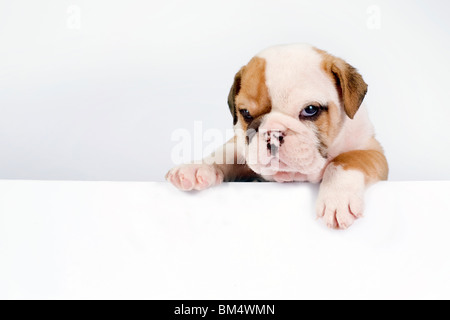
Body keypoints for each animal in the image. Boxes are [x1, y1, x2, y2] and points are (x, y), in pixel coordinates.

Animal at [165, 44, 386, 230]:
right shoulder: (243, 148)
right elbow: (224, 153)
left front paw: (337, 198)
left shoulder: (372, 150)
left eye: (310, 110)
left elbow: (348, 159)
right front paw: (196, 168)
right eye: (246, 113)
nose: (273, 133)